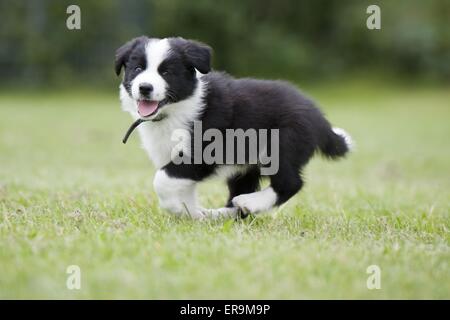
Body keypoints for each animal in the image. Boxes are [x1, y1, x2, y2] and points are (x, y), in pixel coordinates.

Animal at [115, 36, 352, 219]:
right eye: (137, 69)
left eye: (166, 72)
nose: (145, 87)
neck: (175, 109)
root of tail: (318, 116)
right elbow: (182, 188)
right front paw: (191, 213)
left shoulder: (201, 154)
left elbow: (162, 180)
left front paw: (179, 210)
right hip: (247, 163)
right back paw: (221, 214)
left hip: (284, 144)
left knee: (290, 183)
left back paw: (249, 203)